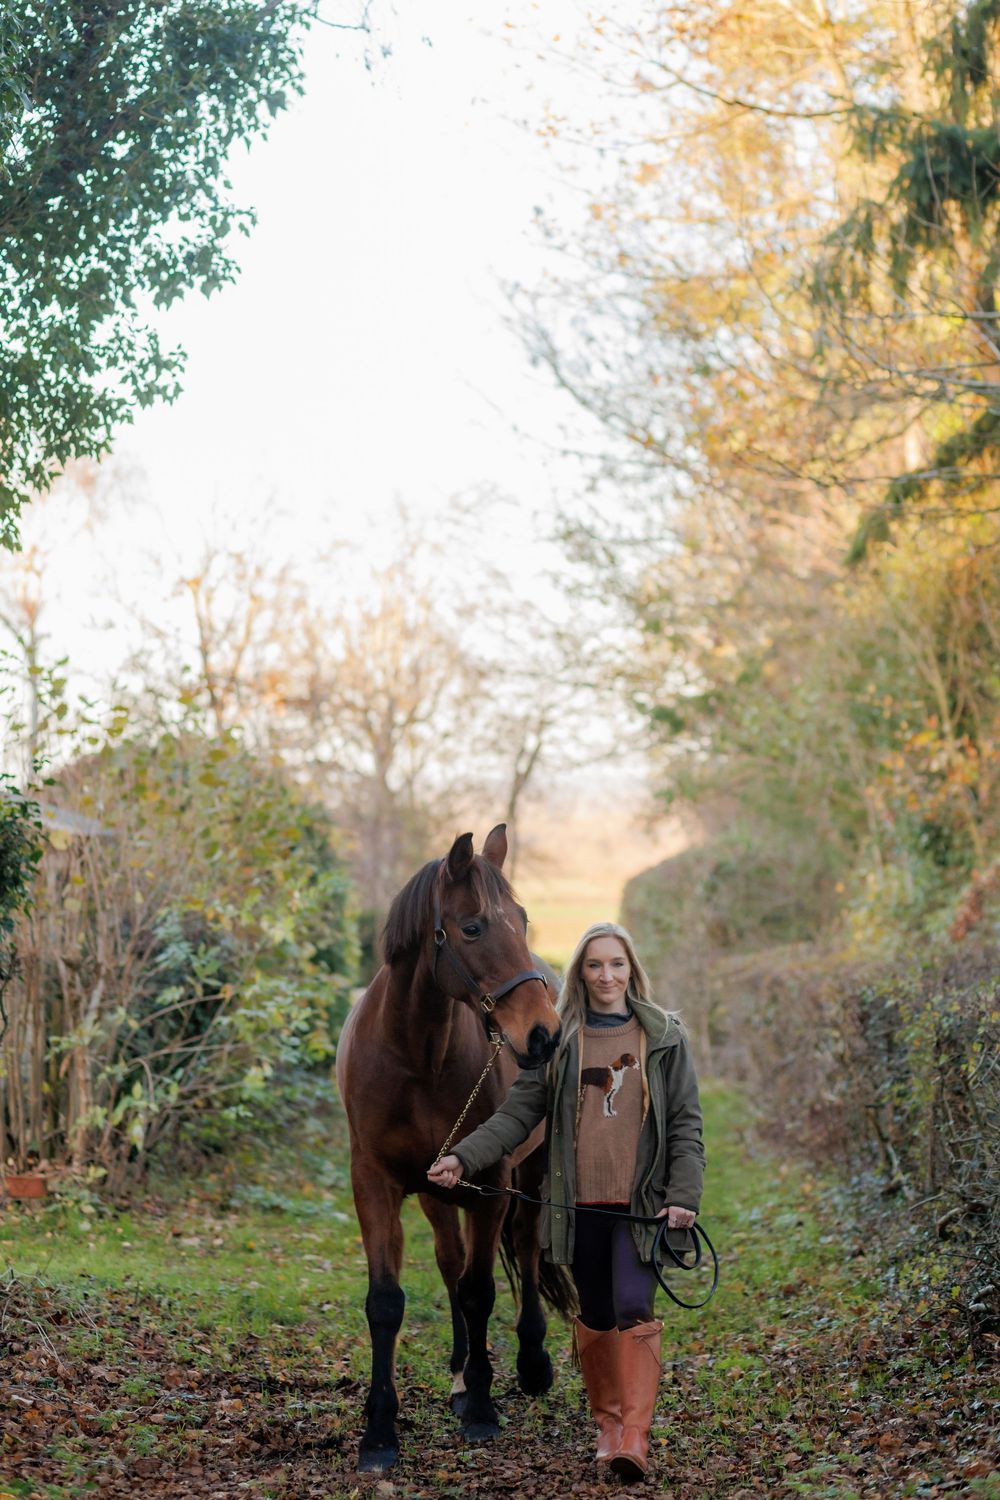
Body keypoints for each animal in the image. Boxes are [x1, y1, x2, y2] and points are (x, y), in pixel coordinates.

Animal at [335, 824, 574, 1472]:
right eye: (472, 928)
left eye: (521, 918)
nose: (544, 1035)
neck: (415, 1058)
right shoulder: (376, 1183)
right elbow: (387, 1302)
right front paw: (379, 1432)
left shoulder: (491, 1183)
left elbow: (479, 1290)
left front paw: (484, 1409)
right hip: (436, 1193)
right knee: (449, 1260)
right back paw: (461, 1372)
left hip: (528, 1174)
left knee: (523, 1249)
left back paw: (528, 1365)